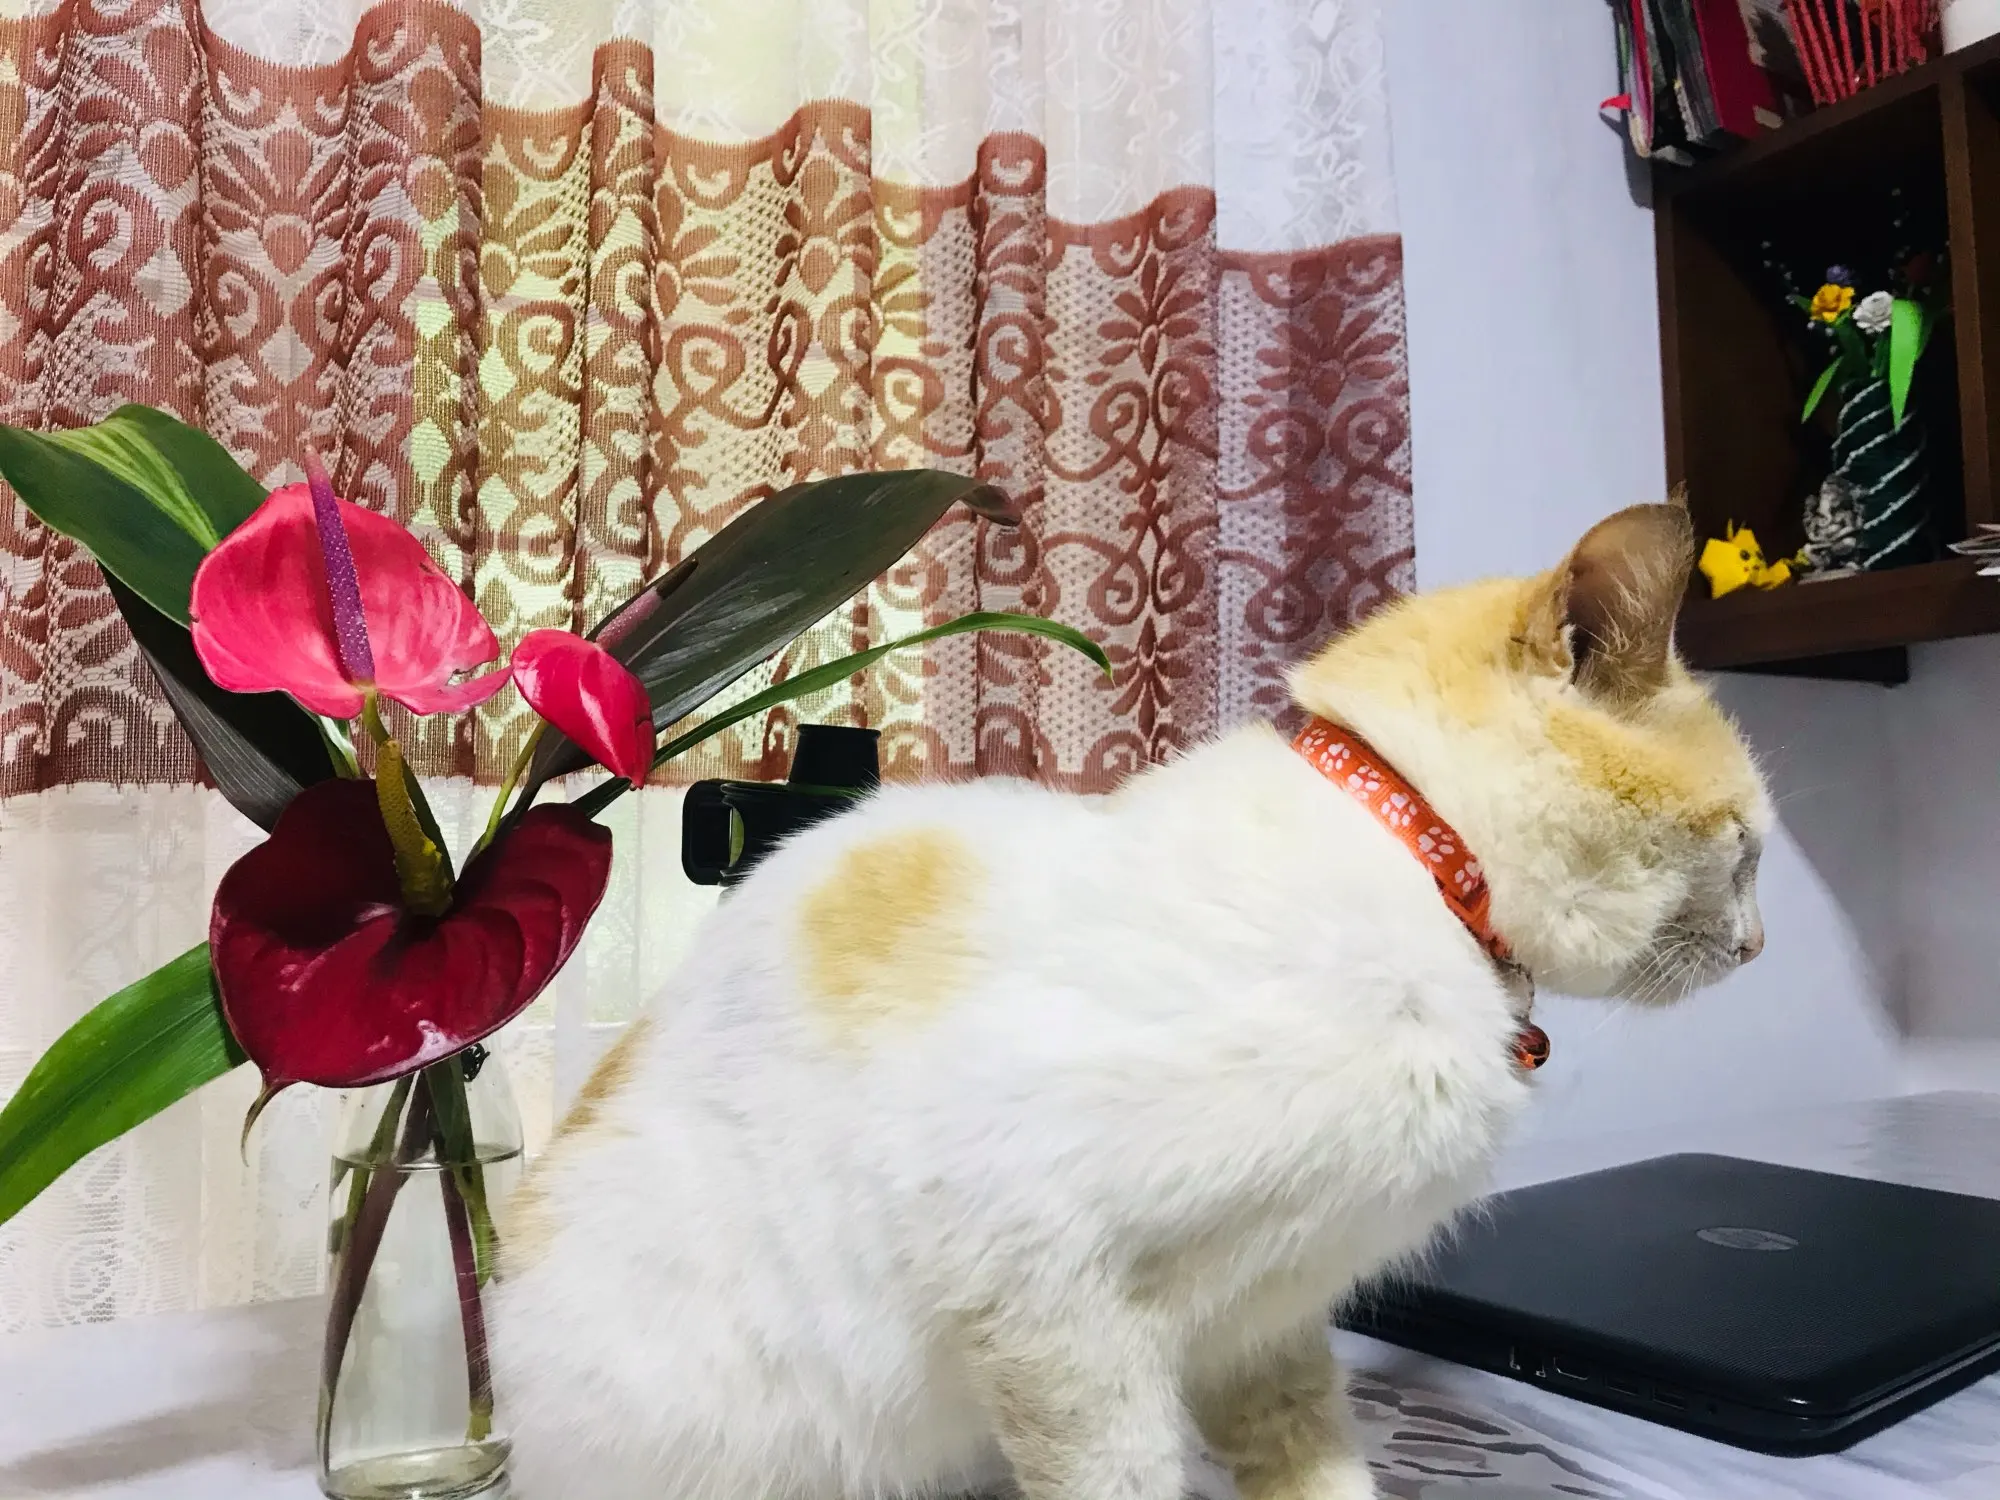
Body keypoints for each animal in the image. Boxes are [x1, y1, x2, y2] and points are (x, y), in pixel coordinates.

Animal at [489, 502, 1769, 1500]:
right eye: (1749, 849)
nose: (1760, 944)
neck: (1418, 864)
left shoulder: (1264, 1318)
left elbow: (1309, 1460)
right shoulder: (1044, 1290)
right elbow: (1119, 1474)